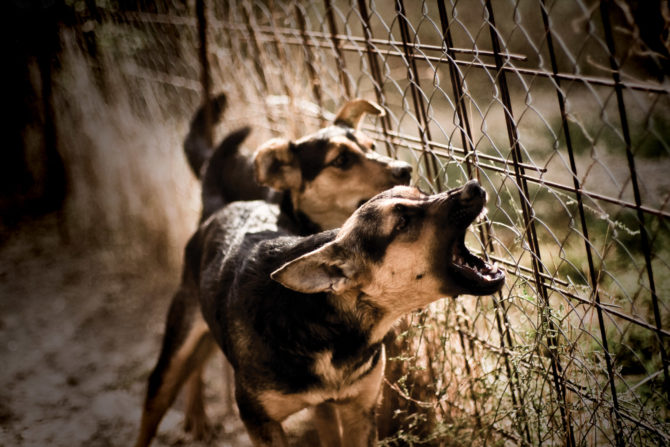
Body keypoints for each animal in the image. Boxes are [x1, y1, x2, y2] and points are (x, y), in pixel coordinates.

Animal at [135, 180, 504, 446]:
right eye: (402, 221)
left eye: (422, 194)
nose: (474, 186)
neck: (330, 323)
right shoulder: (260, 423)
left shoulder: (359, 411)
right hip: (175, 349)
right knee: (157, 397)